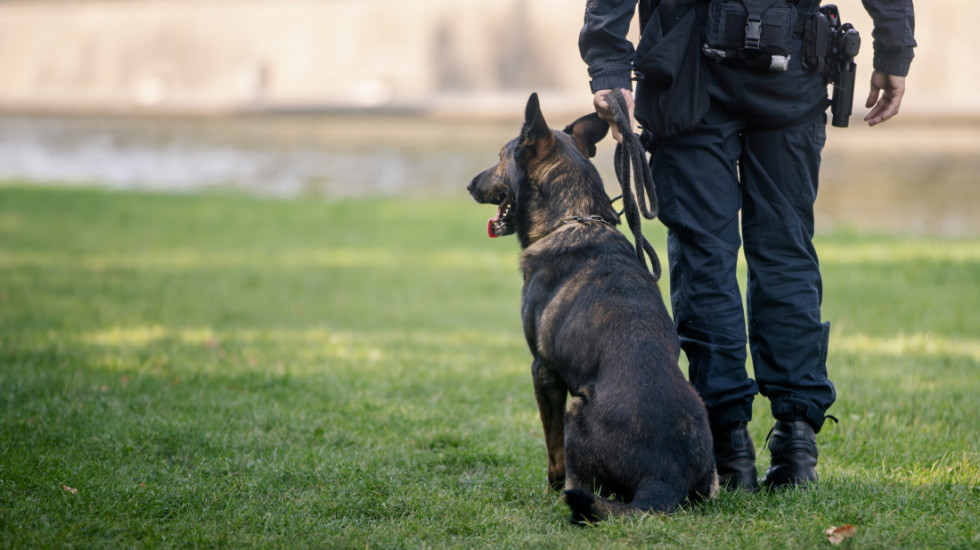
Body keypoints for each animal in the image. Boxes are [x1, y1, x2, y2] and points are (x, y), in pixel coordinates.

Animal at [468, 96, 720, 528]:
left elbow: (553, 453)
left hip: (575, 409)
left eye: (502, 157)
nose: (469, 185)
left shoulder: (543, 372)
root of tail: (664, 477)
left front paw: (547, 492)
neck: (574, 217)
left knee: (578, 481)